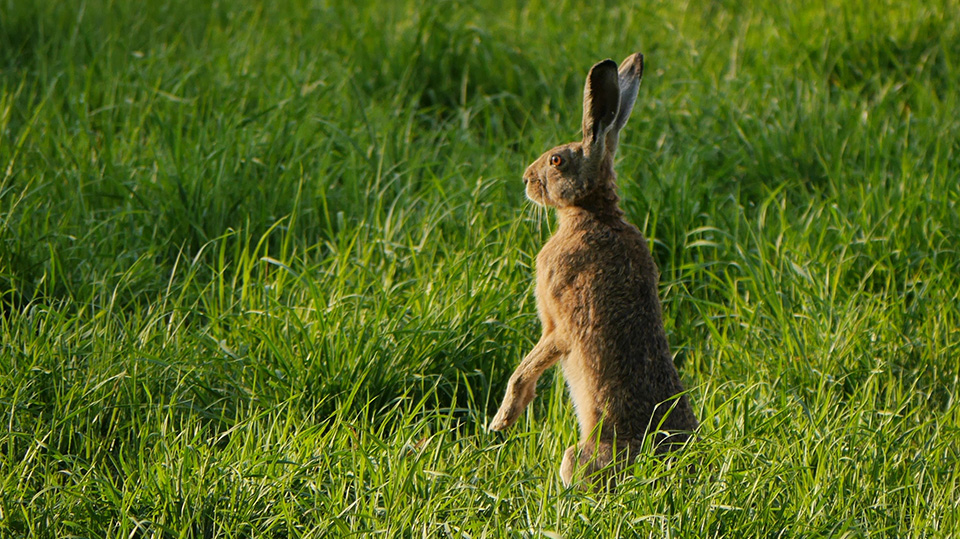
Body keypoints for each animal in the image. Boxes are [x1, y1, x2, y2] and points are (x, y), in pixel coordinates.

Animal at [488, 52, 698, 488]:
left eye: (556, 161)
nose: (526, 180)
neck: (592, 212)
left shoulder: (559, 324)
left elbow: (528, 366)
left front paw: (502, 421)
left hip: (582, 453)